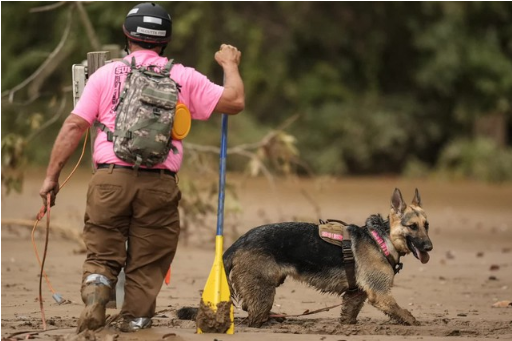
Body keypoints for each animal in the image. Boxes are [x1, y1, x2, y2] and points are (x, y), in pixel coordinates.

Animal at [178, 189, 434, 326]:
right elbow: (406, 314)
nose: (430, 247)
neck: (382, 238)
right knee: (253, 318)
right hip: (263, 292)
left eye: (427, 225)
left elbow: (349, 315)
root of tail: (240, 240)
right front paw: (417, 325)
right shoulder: (380, 295)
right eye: (412, 227)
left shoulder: (356, 295)